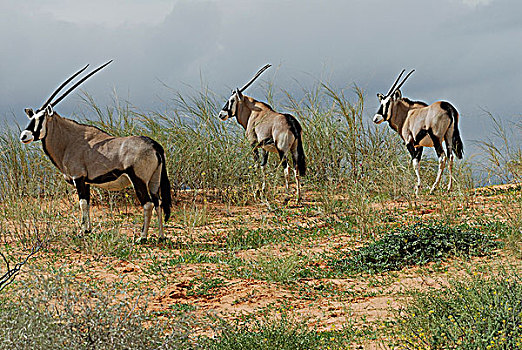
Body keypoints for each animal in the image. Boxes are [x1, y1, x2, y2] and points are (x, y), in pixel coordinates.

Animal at [20, 61, 172, 242]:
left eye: (41, 118)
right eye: (31, 117)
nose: (24, 136)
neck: (69, 141)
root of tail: (154, 145)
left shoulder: (78, 178)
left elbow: (82, 203)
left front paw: (81, 232)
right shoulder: (86, 182)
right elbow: (87, 203)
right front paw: (88, 230)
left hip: (139, 180)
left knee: (148, 204)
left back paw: (141, 238)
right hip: (154, 180)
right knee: (158, 202)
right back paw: (161, 236)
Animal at [216, 65, 304, 202]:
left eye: (231, 100)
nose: (221, 114)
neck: (253, 112)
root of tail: (291, 121)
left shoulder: (253, 144)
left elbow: (257, 165)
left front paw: (257, 193)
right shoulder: (264, 148)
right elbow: (263, 166)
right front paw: (263, 191)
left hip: (282, 150)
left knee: (287, 168)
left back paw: (286, 196)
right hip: (294, 149)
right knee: (296, 169)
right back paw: (298, 198)